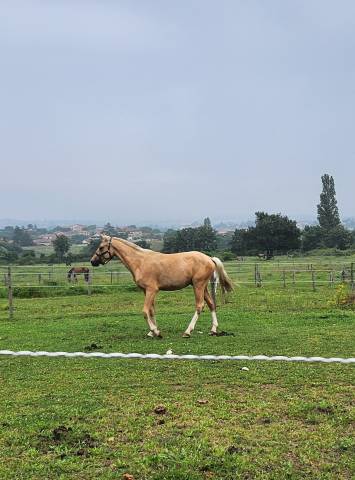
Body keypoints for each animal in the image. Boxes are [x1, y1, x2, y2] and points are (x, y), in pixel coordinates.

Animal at [91, 235, 234, 338]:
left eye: (101, 247)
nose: (93, 261)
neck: (140, 262)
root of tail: (210, 259)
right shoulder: (146, 291)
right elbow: (151, 310)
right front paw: (152, 332)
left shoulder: (151, 290)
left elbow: (145, 311)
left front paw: (156, 331)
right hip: (202, 286)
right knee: (211, 304)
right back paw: (213, 330)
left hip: (198, 285)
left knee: (200, 305)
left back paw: (187, 332)